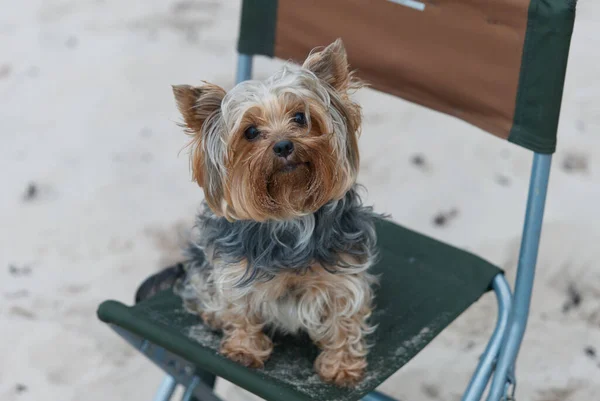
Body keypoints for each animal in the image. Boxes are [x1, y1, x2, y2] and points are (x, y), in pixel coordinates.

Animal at [148, 39, 380, 386]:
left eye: (300, 117)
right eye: (251, 132)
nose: (284, 145)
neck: (290, 210)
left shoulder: (342, 272)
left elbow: (344, 321)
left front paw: (342, 367)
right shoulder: (235, 272)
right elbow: (241, 310)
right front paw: (244, 350)